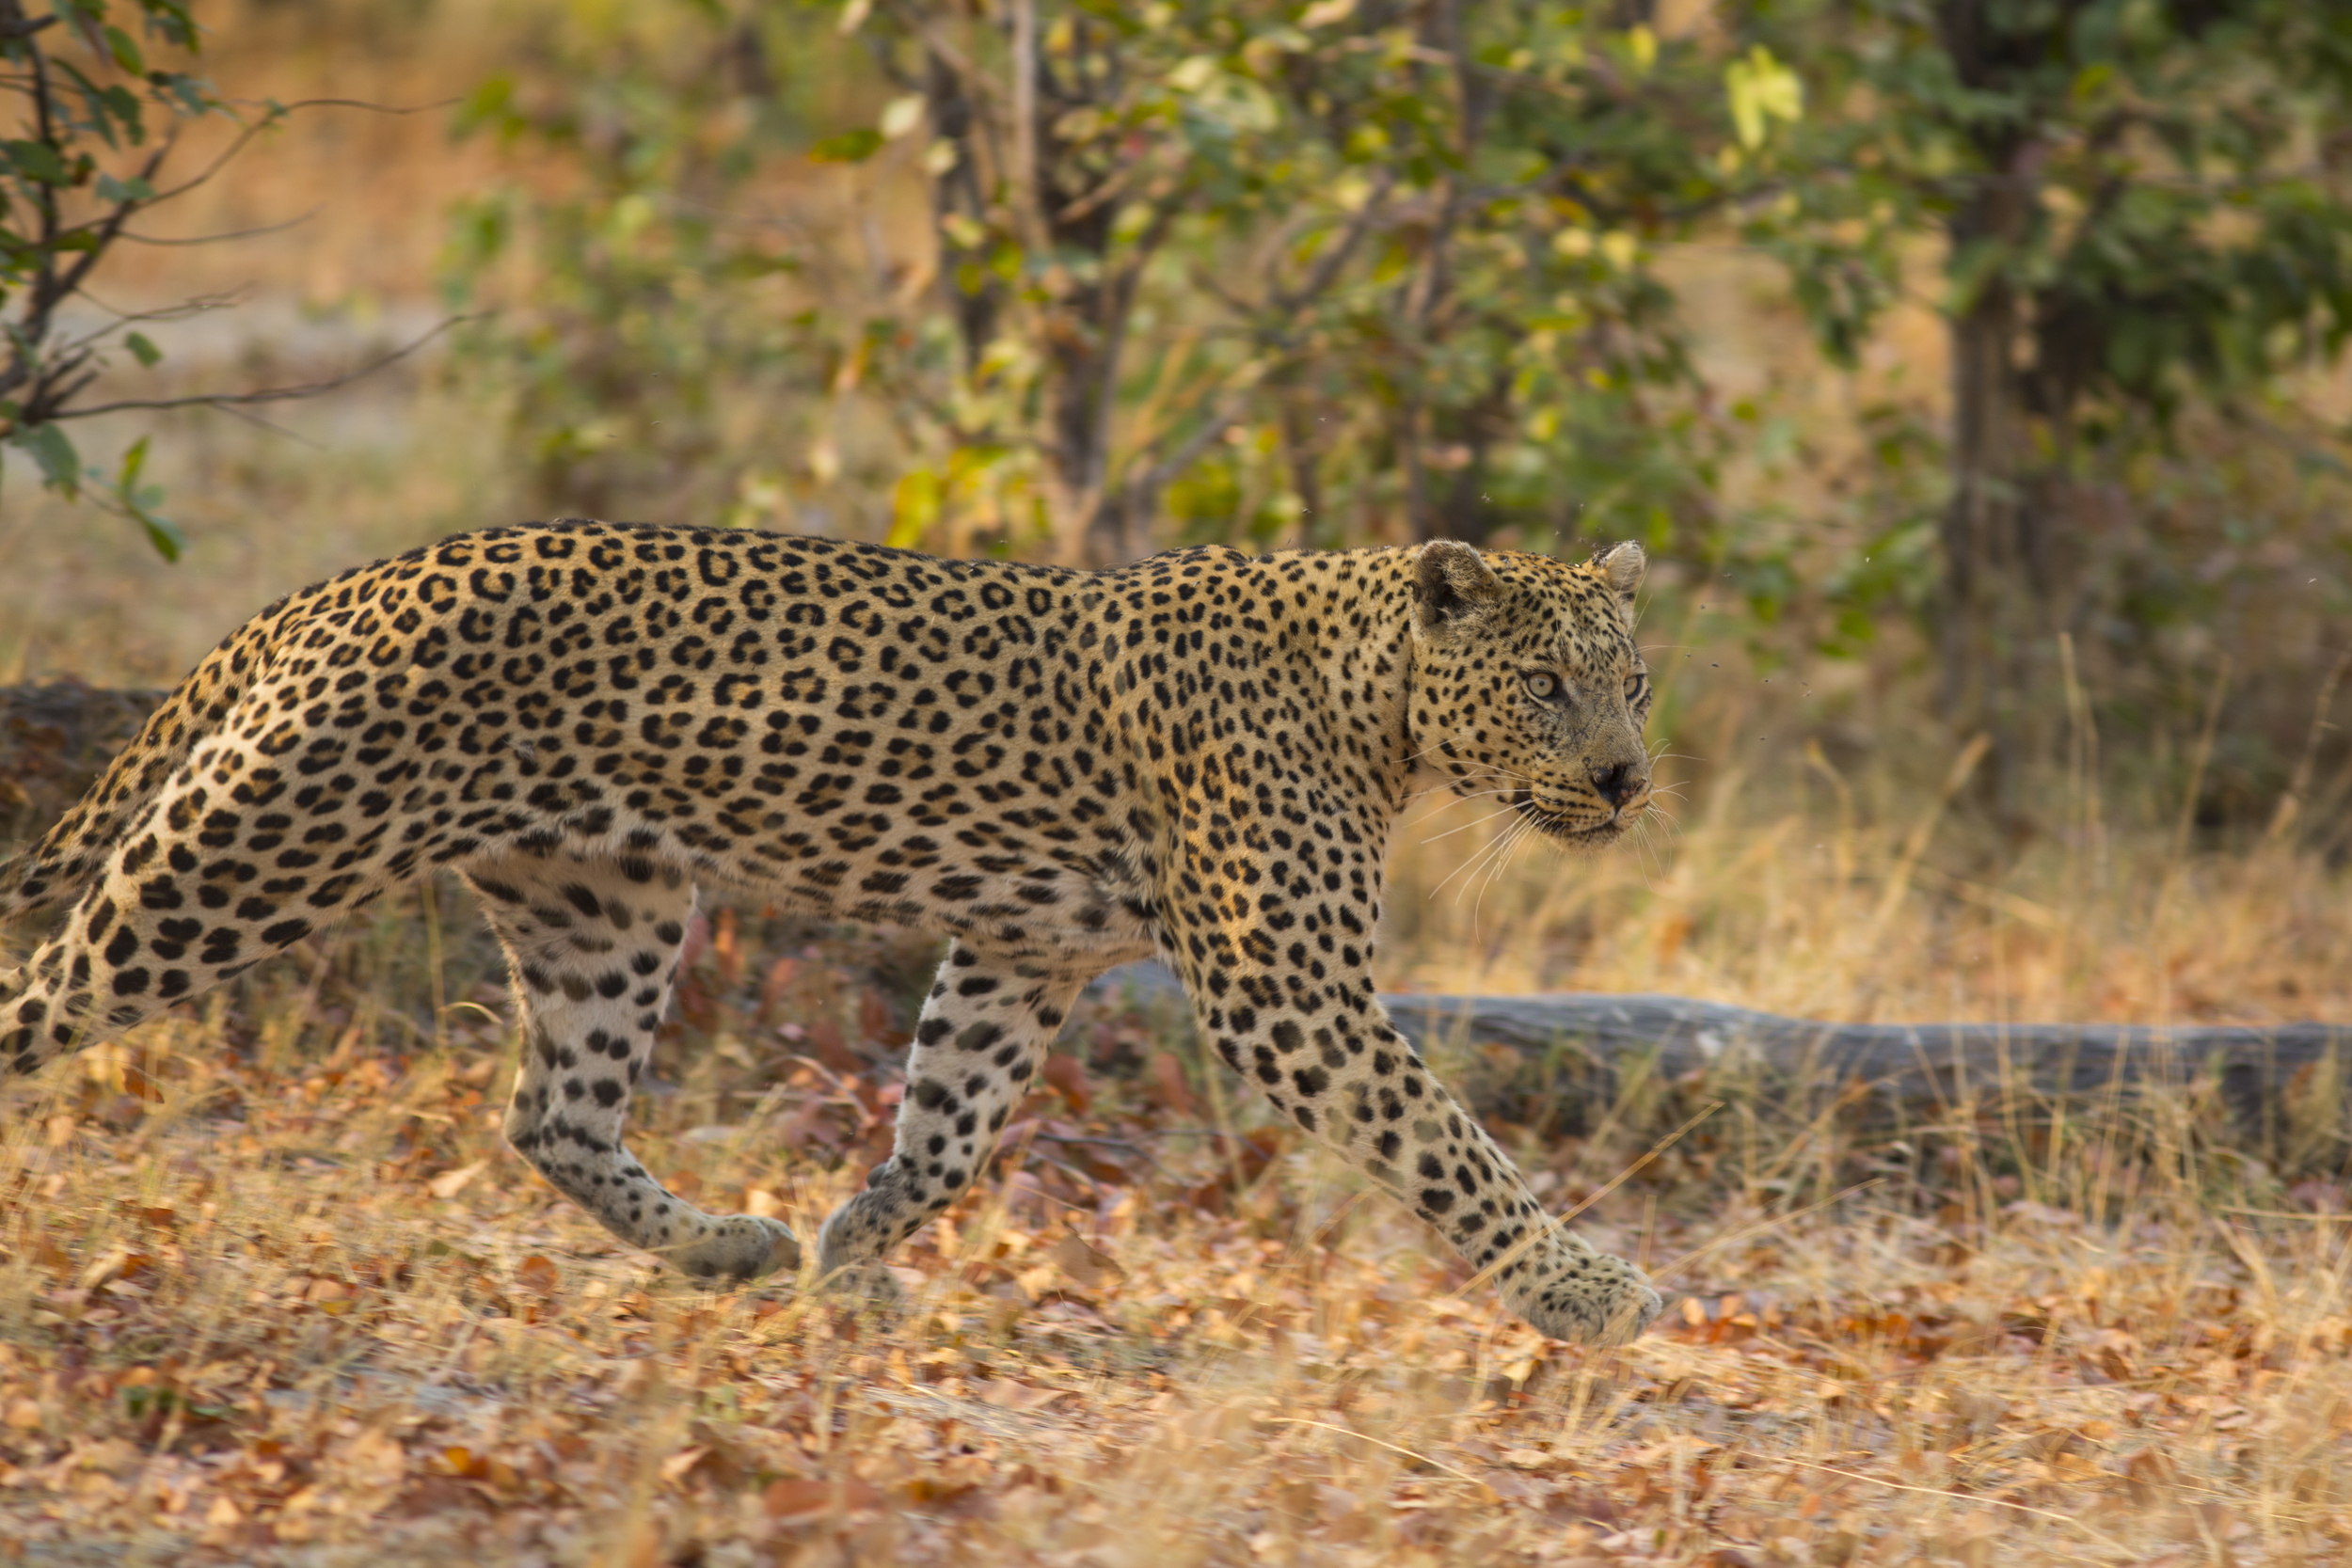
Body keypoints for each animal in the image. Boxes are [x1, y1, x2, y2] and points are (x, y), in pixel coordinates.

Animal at [0, 516, 1665, 1354]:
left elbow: (952, 1122)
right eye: (1546, 686)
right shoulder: (1286, 983)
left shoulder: (1024, 950)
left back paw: (725, 1243)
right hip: (256, 856)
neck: (1378, 702)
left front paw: (850, 1247)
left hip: (604, 900)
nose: (1626, 779)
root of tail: (341, 583)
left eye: (1634, 681)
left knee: (552, 1111)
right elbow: (1447, 1138)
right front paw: (1584, 1290)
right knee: (33, 995)